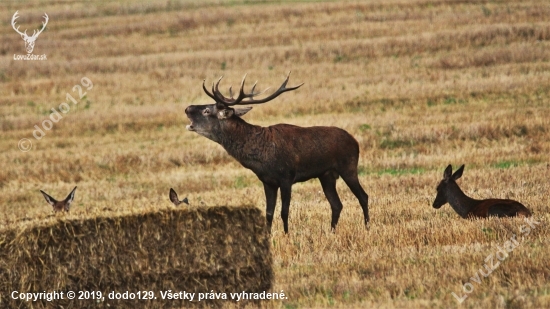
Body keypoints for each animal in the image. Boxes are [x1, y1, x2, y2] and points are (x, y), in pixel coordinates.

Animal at [185, 71, 370, 232]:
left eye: (206, 111)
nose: (187, 108)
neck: (261, 156)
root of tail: (355, 141)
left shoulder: (286, 177)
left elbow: (284, 212)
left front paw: (287, 235)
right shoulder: (268, 181)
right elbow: (269, 213)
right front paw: (268, 236)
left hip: (348, 167)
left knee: (363, 196)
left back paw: (367, 228)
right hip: (326, 175)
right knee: (336, 204)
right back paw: (332, 232)